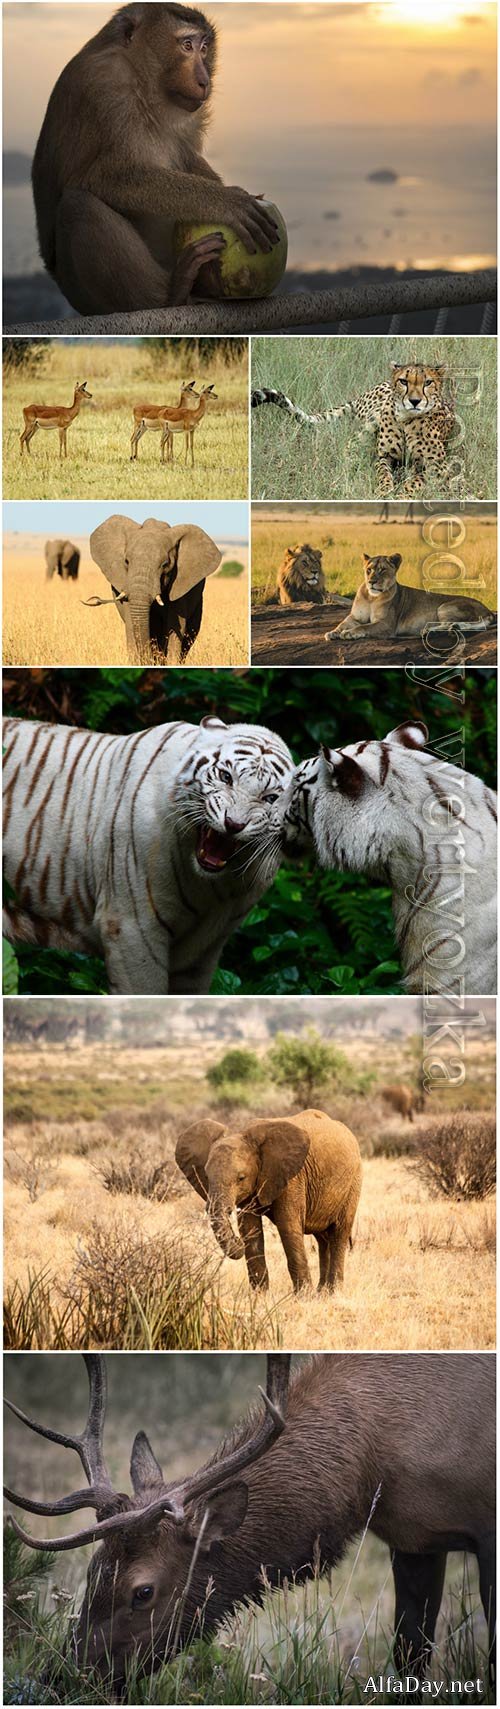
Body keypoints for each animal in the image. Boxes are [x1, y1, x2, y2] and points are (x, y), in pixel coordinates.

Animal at [2, 715, 294, 995]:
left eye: (270, 798)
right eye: (225, 777)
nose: (233, 824)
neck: (214, 888)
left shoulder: (203, 949)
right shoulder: (132, 926)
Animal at [31, 2, 281, 316]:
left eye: (204, 48)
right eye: (186, 45)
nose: (205, 80)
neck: (143, 83)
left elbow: (186, 157)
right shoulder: (105, 87)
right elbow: (103, 176)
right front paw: (227, 202)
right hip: (85, 295)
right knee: (79, 206)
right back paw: (172, 294)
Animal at [88, 514, 222, 664]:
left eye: (165, 564)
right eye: (126, 561)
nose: (95, 599)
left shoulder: (181, 583)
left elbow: (175, 625)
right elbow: (131, 624)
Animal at [175, 1108, 362, 1292]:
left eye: (241, 1178)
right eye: (206, 1177)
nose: (237, 1241)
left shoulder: (292, 1178)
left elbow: (288, 1226)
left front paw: (303, 1295)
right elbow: (250, 1228)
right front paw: (260, 1295)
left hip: (353, 1181)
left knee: (339, 1232)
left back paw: (333, 1291)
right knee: (322, 1238)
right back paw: (322, 1292)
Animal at [252, 364, 456, 496]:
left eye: (428, 382)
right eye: (404, 381)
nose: (414, 401)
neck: (407, 420)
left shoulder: (439, 467)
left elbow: (416, 481)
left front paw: (402, 494)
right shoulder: (383, 456)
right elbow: (383, 474)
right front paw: (385, 490)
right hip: (374, 417)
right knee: (350, 445)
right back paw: (344, 473)